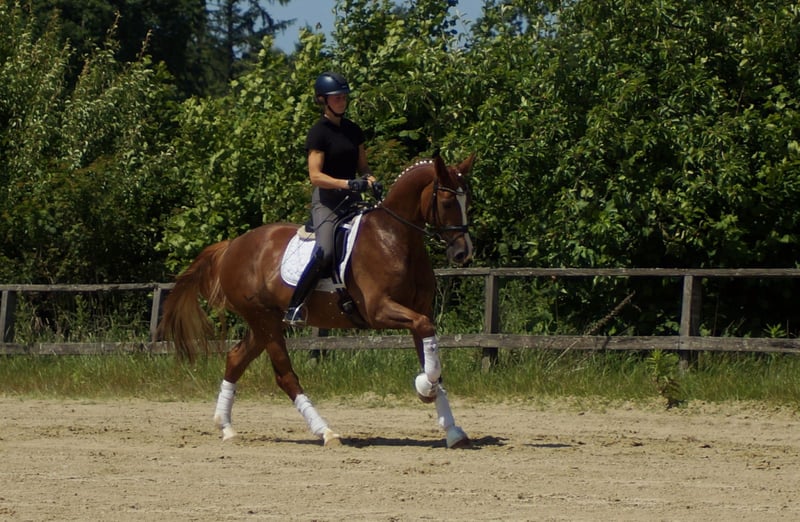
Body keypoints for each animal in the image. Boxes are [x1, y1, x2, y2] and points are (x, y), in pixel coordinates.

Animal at [158, 153, 476, 448]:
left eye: (467, 200)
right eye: (447, 201)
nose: (463, 253)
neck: (394, 237)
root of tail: (233, 245)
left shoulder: (419, 311)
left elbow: (431, 351)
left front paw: (452, 429)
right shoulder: (379, 310)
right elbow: (425, 338)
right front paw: (425, 388)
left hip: (265, 323)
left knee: (236, 359)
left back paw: (226, 427)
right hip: (264, 321)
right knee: (286, 377)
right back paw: (326, 432)